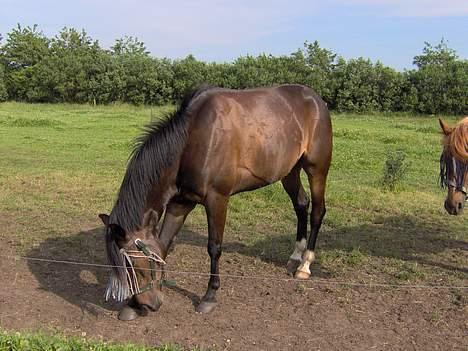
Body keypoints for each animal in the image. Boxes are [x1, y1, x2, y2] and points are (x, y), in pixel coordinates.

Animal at [98, 85, 332, 322]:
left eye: (135, 264)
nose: (148, 304)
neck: (191, 141)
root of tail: (315, 99)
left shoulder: (217, 199)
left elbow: (214, 247)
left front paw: (210, 295)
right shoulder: (180, 204)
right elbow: (164, 243)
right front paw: (130, 306)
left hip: (317, 169)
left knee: (317, 211)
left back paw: (305, 265)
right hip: (289, 171)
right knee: (301, 204)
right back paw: (295, 256)